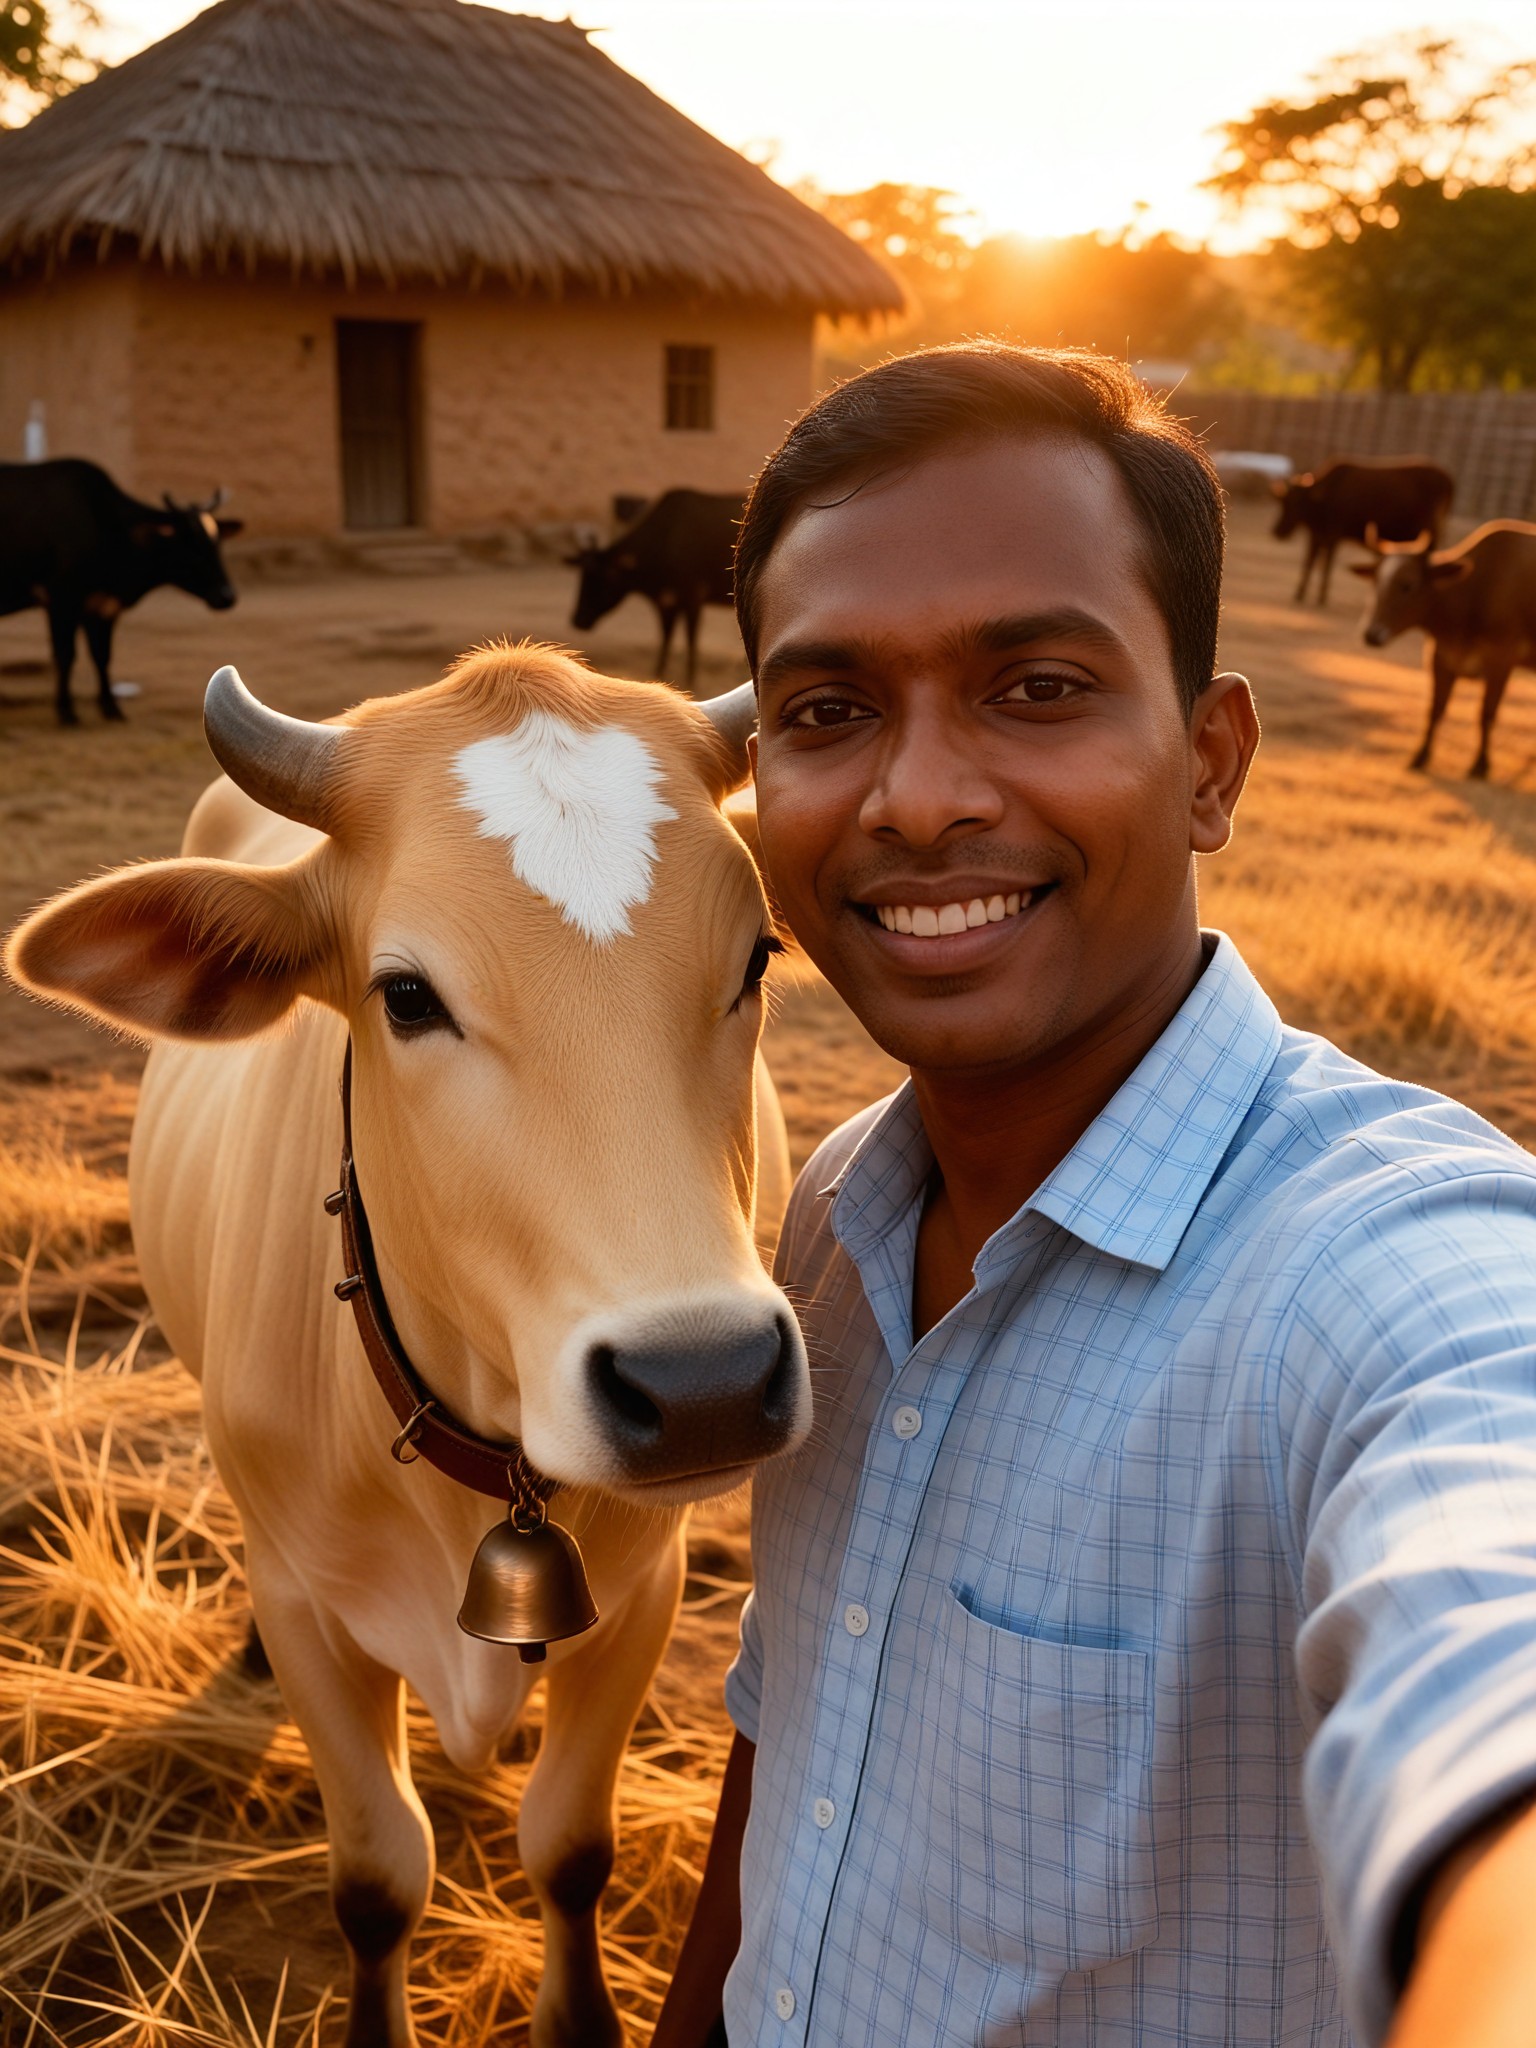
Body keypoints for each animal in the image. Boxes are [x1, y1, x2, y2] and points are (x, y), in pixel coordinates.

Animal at [0, 457, 242, 726]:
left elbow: (102, 656)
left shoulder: (103, 606)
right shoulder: (62, 600)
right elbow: (65, 655)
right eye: (188, 543)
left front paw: (111, 708)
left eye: (216, 543)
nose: (227, 596)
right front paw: (66, 711)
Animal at [4, 647, 810, 2048]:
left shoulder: (644, 1599)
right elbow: (380, 1876)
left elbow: (569, 1846)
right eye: (408, 996)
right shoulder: (318, 1618)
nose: (701, 1383)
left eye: (756, 954)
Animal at [567, 489, 740, 688]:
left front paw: (691, 680)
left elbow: (691, 640)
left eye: (606, 575)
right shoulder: (666, 602)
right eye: (583, 574)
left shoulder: (693, 596)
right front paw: (659, 674)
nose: (578, 620)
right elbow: (666, 637)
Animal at [1271, 458, 1454, 607]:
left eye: (1296, 502)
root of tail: (1448, 480)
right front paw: (1299, 593)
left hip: (1430, 535)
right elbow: (1309, 563)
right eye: (1283, 501)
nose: (1278, 531)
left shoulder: (1333, 534)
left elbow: (1326, 566)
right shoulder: (1317, 534)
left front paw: (1321, 597)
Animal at [1352, 520, 1536, 780]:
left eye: (1407, 585)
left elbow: (1486, 714)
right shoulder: (1441, 658)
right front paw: (1419, 757)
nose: (1371, 634)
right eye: (1375, 582)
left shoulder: (1501, 661)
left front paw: (1480, 765)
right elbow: (1435, 709)